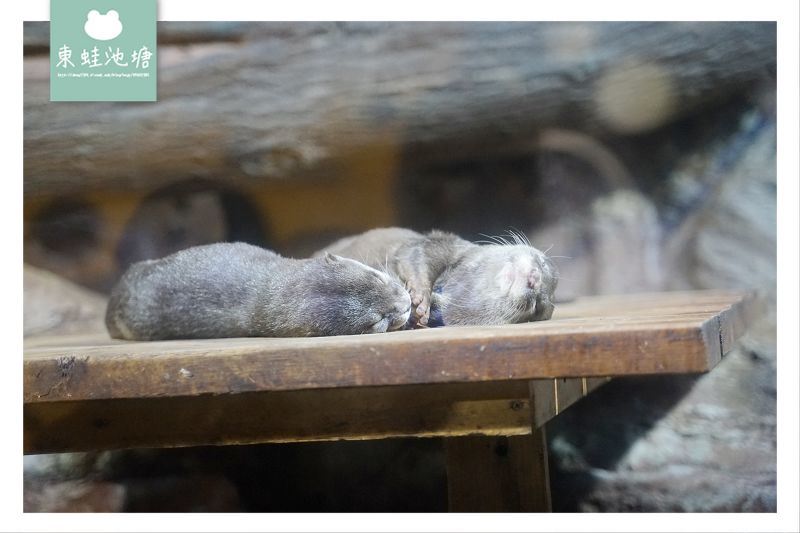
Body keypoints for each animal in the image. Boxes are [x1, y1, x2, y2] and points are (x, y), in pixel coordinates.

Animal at [316, 227, 560, 326]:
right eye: (543, 263)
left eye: (537, 305)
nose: (535, 279)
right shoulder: (439, 245)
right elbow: (416, 257)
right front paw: (421, 297)